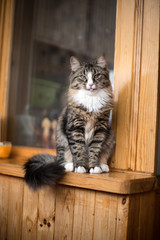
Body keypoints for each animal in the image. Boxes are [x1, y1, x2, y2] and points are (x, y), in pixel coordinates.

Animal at [23, 55, 115, 190]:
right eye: (83, 77)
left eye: (96, 75)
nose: (90, 84)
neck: (91, 101)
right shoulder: (75, 127)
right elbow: (78, 149)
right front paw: (80, 167)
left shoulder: (100, 129)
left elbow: (94, 150)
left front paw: (93, 167)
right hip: (61, 138)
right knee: (61, 160)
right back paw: (70, 165)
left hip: (110, 136)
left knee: (103, 155)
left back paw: (102, 166)